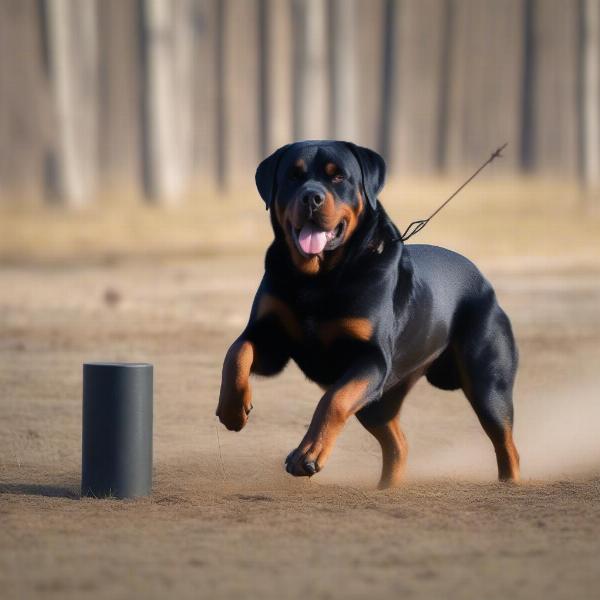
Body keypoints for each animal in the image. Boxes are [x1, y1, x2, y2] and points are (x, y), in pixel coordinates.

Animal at [217, 141, 520, 488]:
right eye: (293, 176)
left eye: (338, 177)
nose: (311, 197)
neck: (318, 278)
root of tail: (485, 282)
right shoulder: (271, 340)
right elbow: (237, 352)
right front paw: (232, 409)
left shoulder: (371, 358)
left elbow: (333, 400)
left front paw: (307, 454)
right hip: (380, 401)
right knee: (398, 443)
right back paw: (386, 487)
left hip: (487, 383)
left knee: (505, 443)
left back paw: (509, 483)